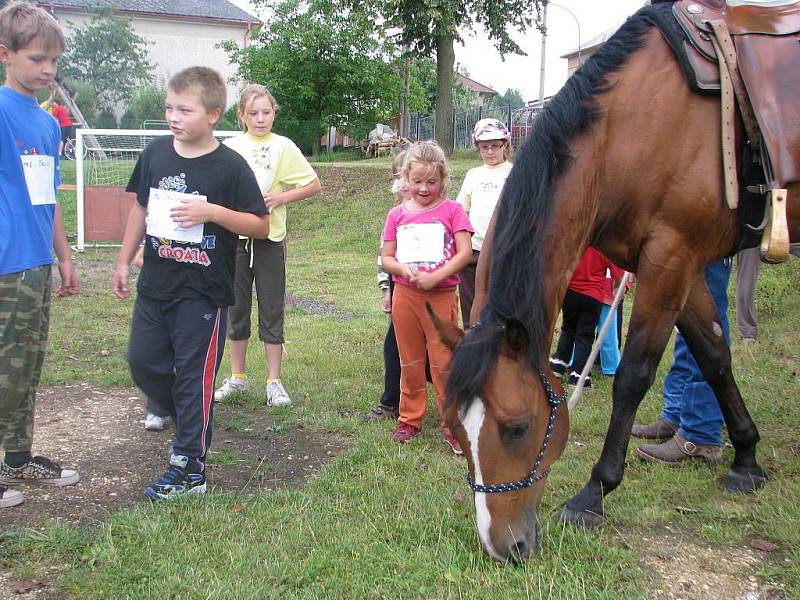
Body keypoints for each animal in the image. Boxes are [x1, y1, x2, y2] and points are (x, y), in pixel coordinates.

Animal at [438, 3, 800, 564]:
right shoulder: (678, 264)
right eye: (456, 426)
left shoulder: (670, 258)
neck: (634, 125)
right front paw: (746, 455)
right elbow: (714, 355)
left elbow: (633, 375)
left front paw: (594, 492)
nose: (504, 546)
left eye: (516, 428)